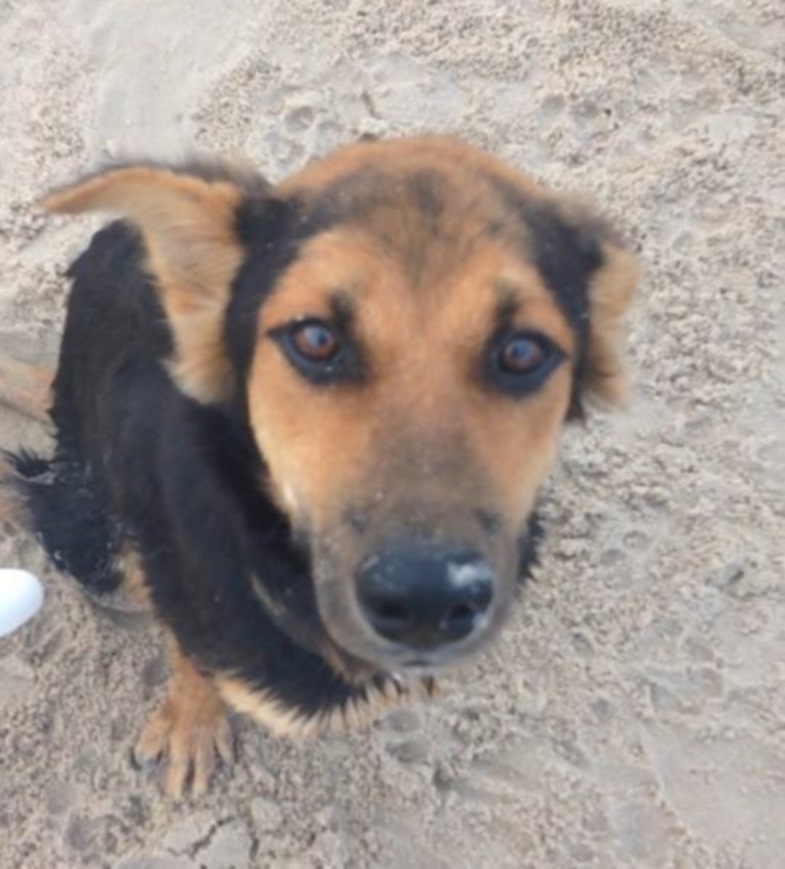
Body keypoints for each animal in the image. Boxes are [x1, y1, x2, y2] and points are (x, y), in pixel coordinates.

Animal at [0, 136, 636, 792]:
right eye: (315, 340)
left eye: (522, 352)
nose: (426, 606)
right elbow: (194, 648)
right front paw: (193, 720)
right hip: (90, 535)